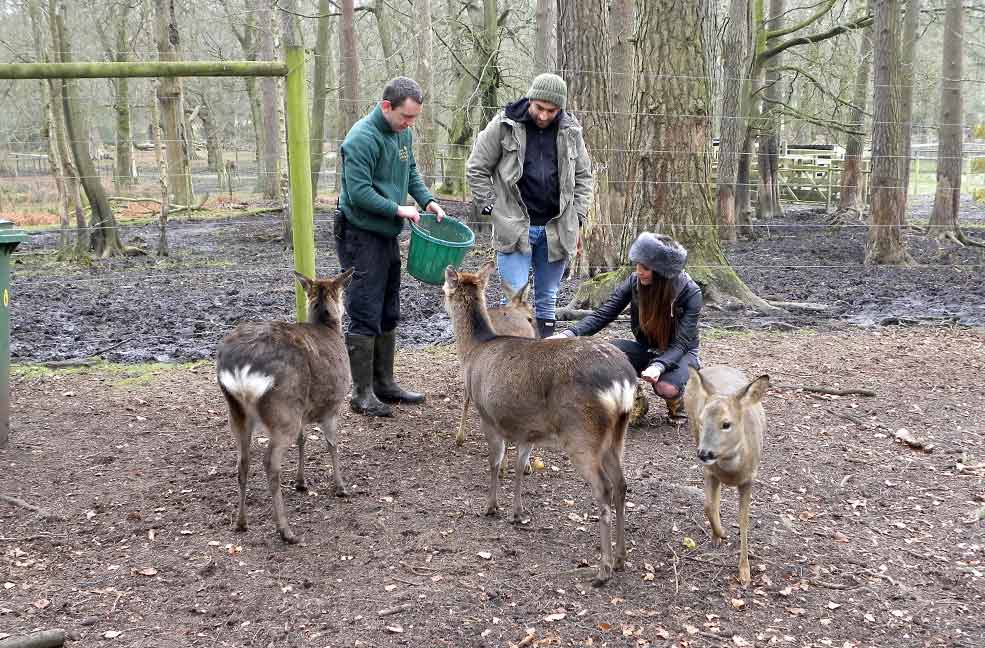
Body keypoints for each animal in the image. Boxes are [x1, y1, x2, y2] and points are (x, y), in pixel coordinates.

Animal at [217, 268, 356, 540]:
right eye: (343, 292)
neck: (328, 327)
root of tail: (240, 369)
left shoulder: (303, 411)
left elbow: (303, 439)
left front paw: (301, 482)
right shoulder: (333, 406)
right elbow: (332, 445)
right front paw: (341, 487)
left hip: (237, 412)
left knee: (242, 462)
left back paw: (241, 522)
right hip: (282, 408)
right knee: (269, 462)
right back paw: (285, 530)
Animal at [442, 260, 636, 584]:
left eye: (446, 288)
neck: (474, 350)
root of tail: (622, 382)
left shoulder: (487, 415)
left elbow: (494, 462)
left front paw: (491, 507)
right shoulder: (527, 431)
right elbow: (520, 465)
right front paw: (518, 512)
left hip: (581, 433)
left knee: (604, 489)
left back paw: (603, 569)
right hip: (617, 433)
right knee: (621, 484)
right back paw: (621, 558)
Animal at [684, 368, 768, 584]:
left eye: (726, 424)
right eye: (702, 421)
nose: (703, 453)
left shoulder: (749, 479)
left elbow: (744, 521)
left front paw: (745, 572)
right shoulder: (709, 471)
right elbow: (708, 506)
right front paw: (721, 533)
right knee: (714, 500)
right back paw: (716, 536)